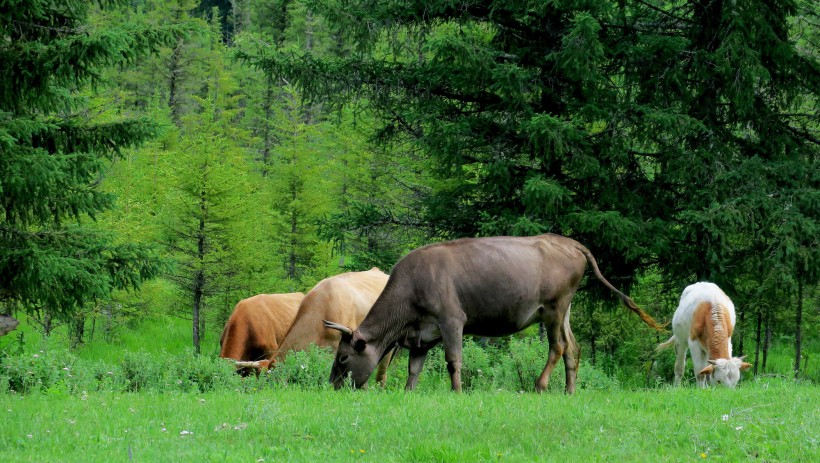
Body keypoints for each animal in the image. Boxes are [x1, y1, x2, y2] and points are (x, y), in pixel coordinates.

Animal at [324, 236, 664, 396]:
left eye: (343, 358)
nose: (332, 386)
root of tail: (569, 241)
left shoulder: (452, 320)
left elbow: (453, 361)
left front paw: (457, 392)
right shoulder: (422, 334)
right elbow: (414, 369)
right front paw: (409, 394)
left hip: (554, 308)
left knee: (558, 347)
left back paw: (540, 386)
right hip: (565, 310)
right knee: (574, 349)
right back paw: (569, 392)